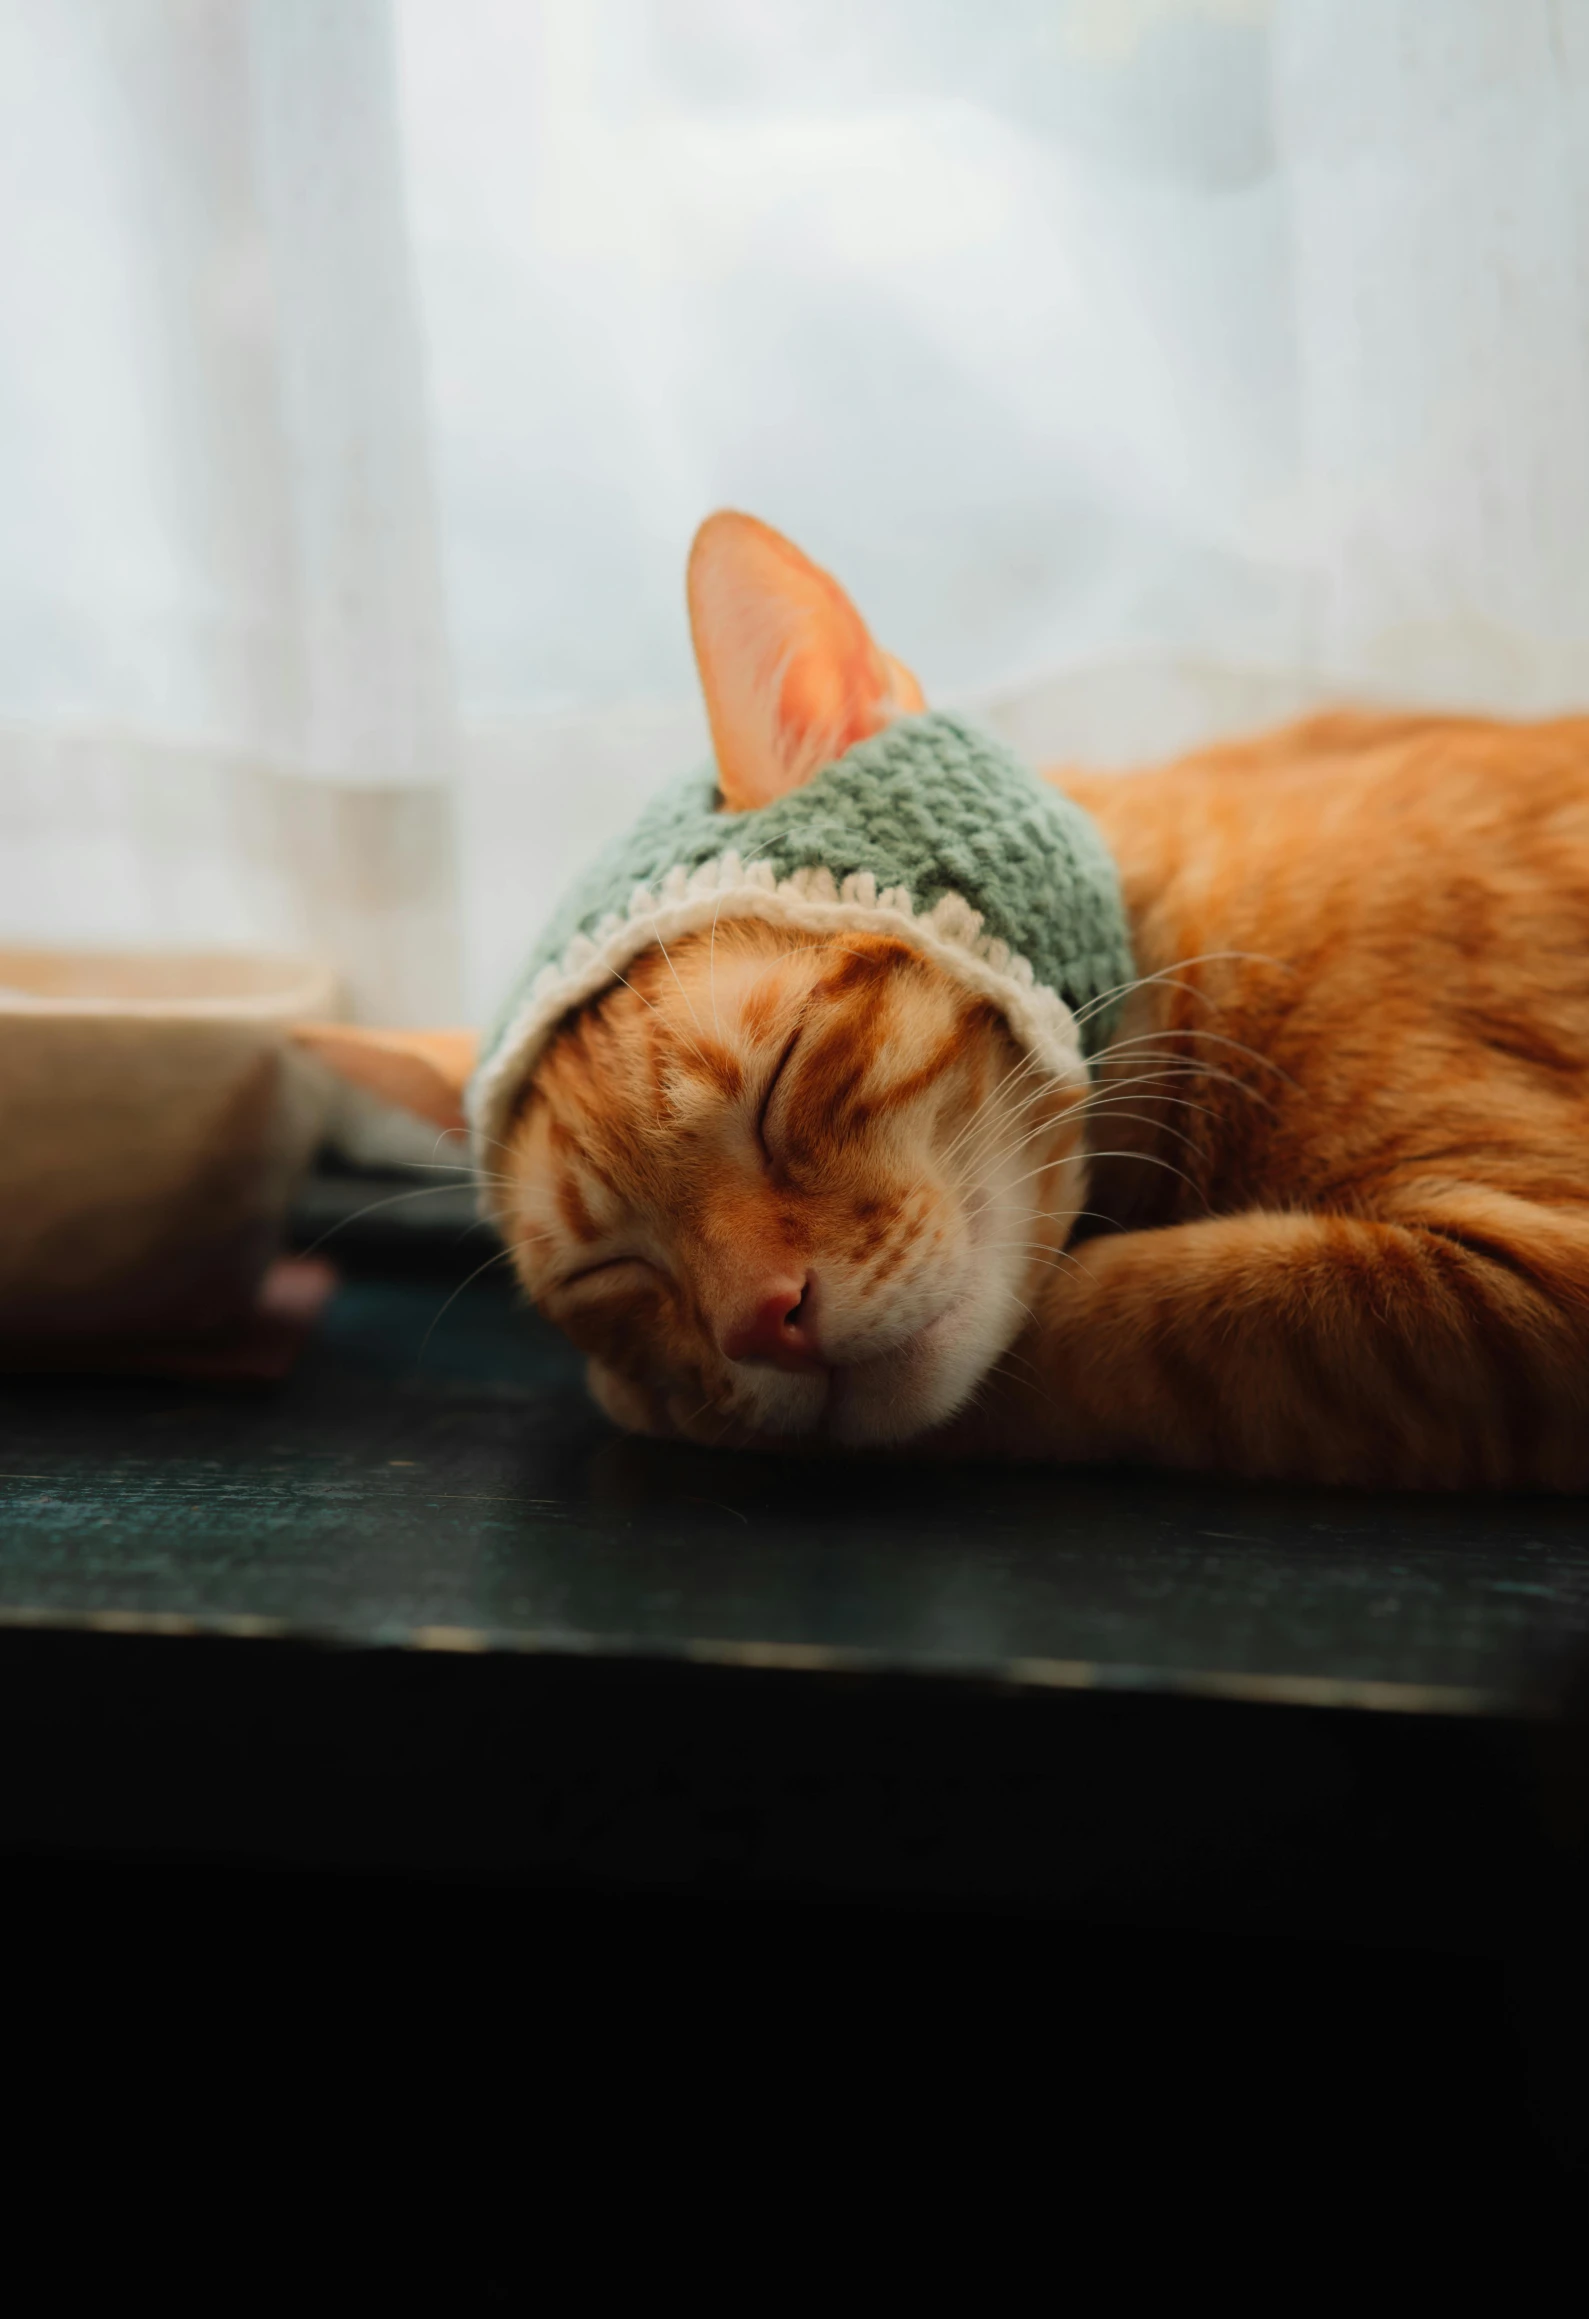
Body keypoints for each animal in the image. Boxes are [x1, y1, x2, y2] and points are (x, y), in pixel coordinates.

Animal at [306, 517, 1586, 1493]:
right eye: (607, 1272)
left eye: (782, 1075)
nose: (759, 1321)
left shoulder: (1507, 1274)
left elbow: (1139, 1315)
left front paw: (655, 1405)